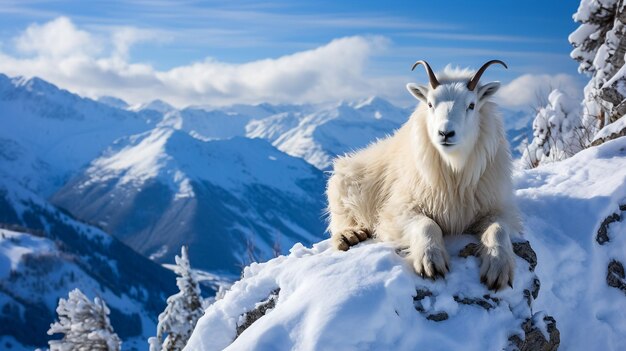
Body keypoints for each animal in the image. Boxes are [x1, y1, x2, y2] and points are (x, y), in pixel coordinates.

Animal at [324, 59, 520, 292]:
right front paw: (431, 261)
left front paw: (498, 268)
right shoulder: (399, 209)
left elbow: (498, 229)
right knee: (340, 222)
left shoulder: (495, 207)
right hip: (344, 190)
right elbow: (427, 224)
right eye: (430, 104)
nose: (445, 133)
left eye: (471, 105)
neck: (454, 170)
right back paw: (350, 236)